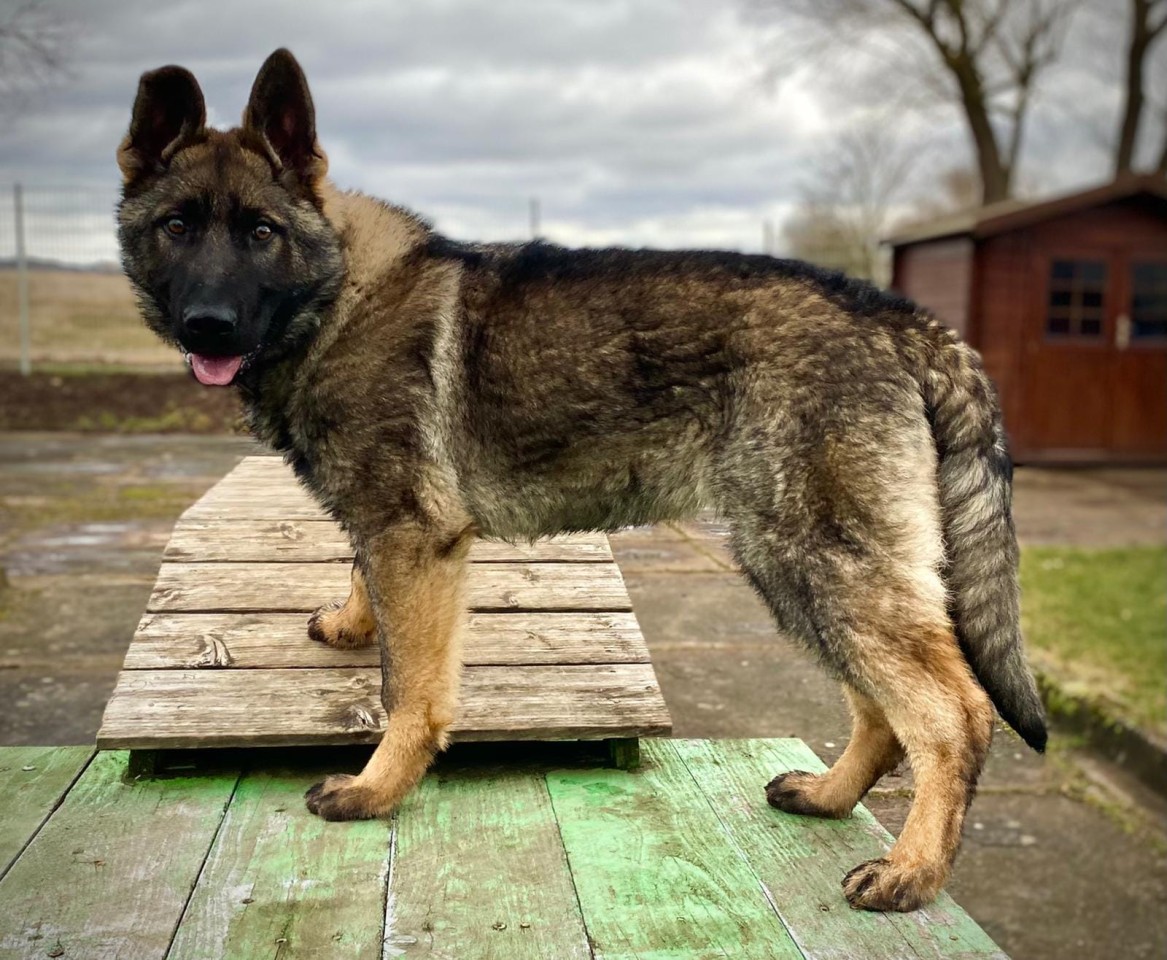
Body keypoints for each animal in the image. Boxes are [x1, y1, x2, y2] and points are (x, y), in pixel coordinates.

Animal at [118, 50, 1050, 914]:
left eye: (260, 232)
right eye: (177, 226)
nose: (208, 324)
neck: (336, 290)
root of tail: (892, 315)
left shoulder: (413, 539)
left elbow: (409, 689)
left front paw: (377, 788)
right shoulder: (394, 534)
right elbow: (365, 587)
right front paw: (352, 622)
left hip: (814, 562)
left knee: (950, 715)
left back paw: (910, 871)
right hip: (803, 573)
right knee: (881, 711)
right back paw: (829, 796)